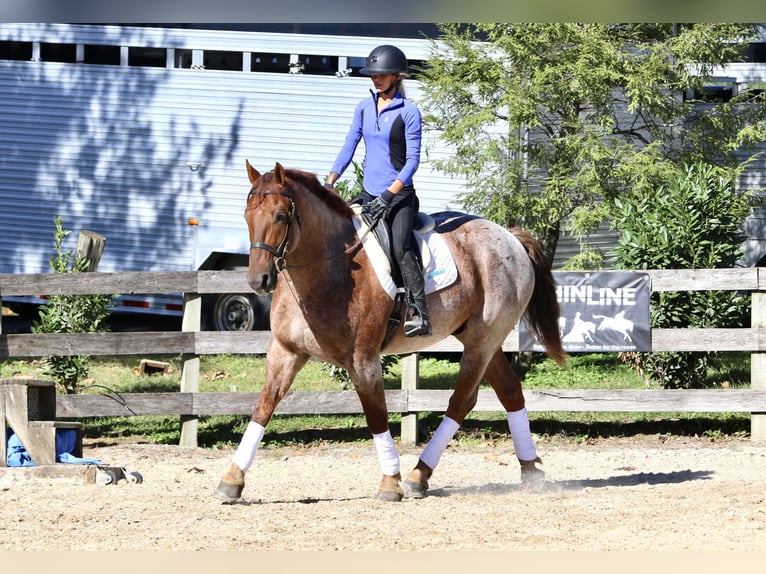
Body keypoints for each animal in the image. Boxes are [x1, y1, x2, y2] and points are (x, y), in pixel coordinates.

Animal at [216, 161, 567, 503]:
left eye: (280, 215)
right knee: (509, 391)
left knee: (462, 400)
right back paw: (529, 470)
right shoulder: (285, 351)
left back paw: (417, 476)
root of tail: (509, 236)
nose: (258, 280)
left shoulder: (363, 360)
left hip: (483, 339)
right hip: (482, 339)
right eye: (247, 215)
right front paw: (232, 480)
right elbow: (263, 407)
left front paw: (389, 483)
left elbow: (376, 416)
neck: (327, 267)